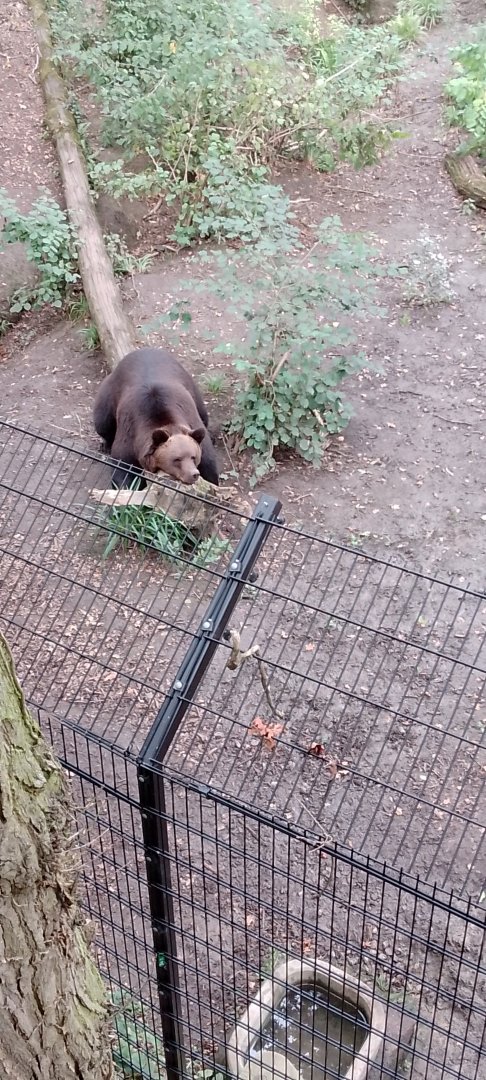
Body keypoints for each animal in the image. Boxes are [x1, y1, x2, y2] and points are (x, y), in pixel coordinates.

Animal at [93, 347, 219, 489]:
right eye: (177, 459)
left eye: (193, 456)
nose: (193, 474)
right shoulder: (130, 432)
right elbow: (124, 468)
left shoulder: (190, 417)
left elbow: (208, 463)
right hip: (109, 393)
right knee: (103, 423)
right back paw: (105, 445)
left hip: (192, 388)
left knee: (204, 415)